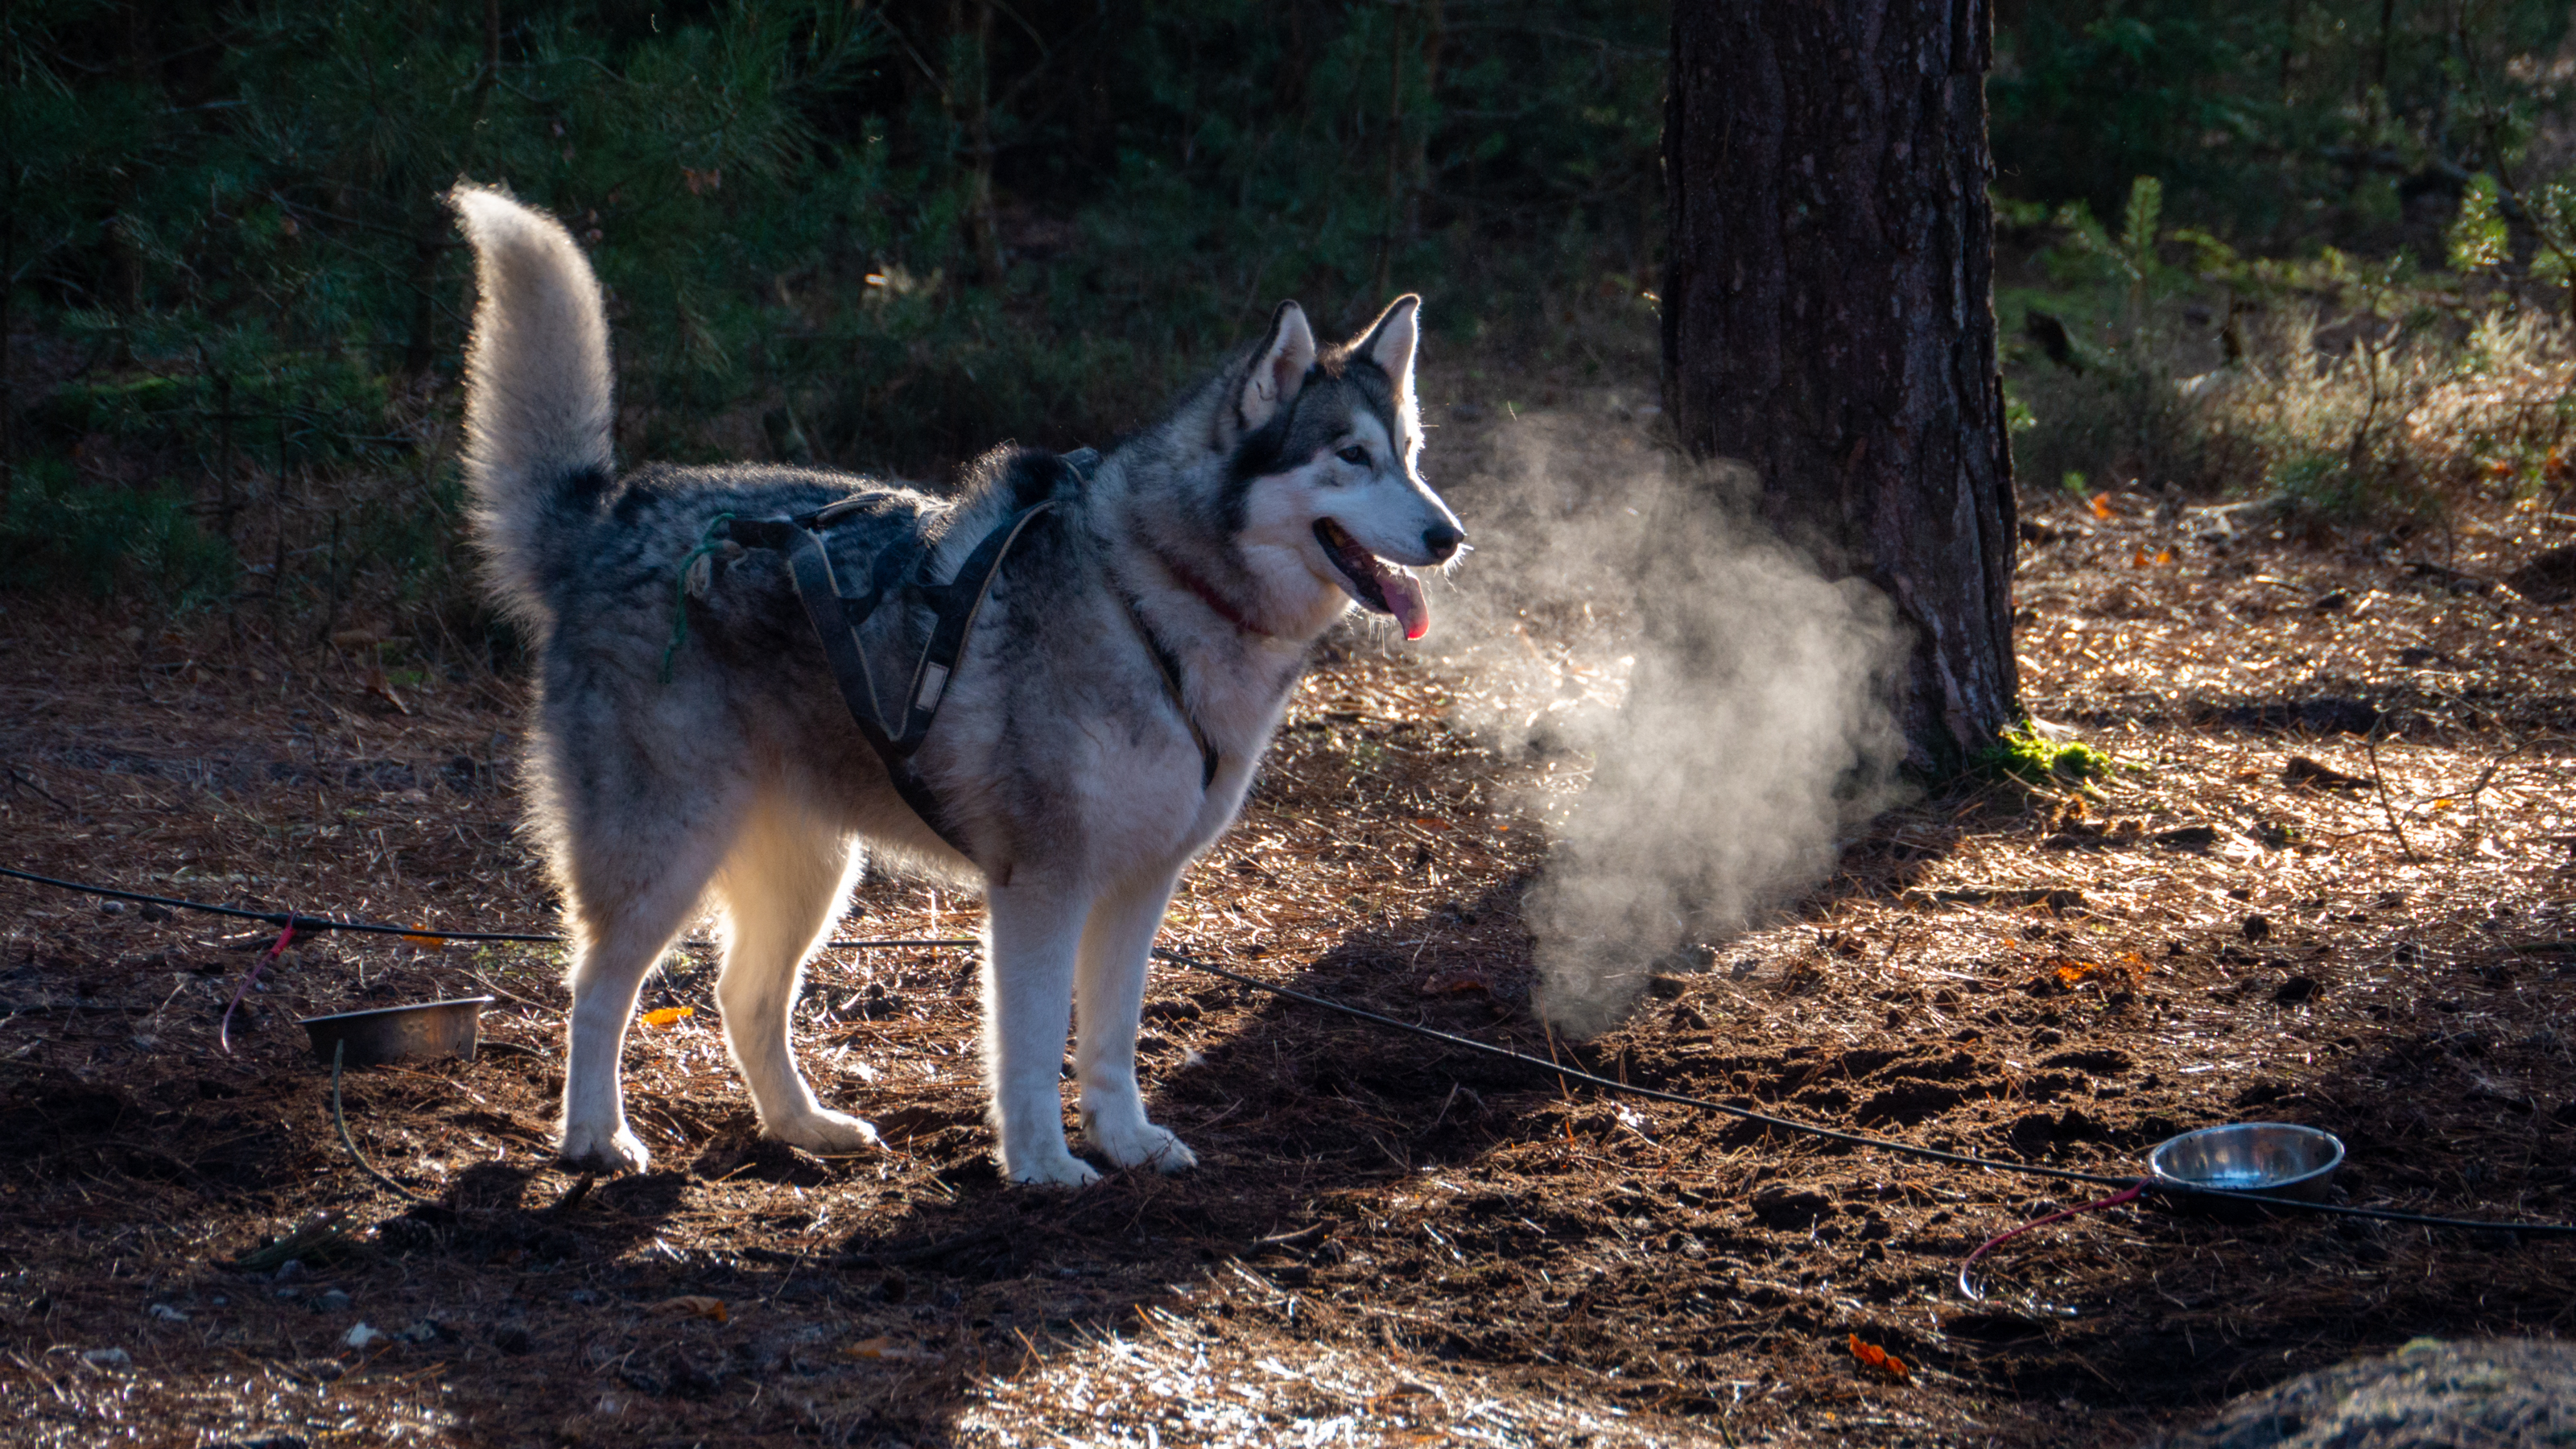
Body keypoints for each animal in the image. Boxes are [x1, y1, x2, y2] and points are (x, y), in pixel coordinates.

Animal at [448, 185, 1473, 1180]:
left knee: (744, 996)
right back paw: (596, 1137)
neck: (1151, 596)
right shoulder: (1041, 886)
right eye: (1350, 457)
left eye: (1412, 455)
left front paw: (1125, 1142)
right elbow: (1030, 1047)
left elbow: (1110, 1040)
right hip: (665, 856)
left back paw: (802, 1127)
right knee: (595, 990)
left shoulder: (1139, 888)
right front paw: (1042, 1164)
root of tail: (609, 517)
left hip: (813, 874)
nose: (1448, 536)